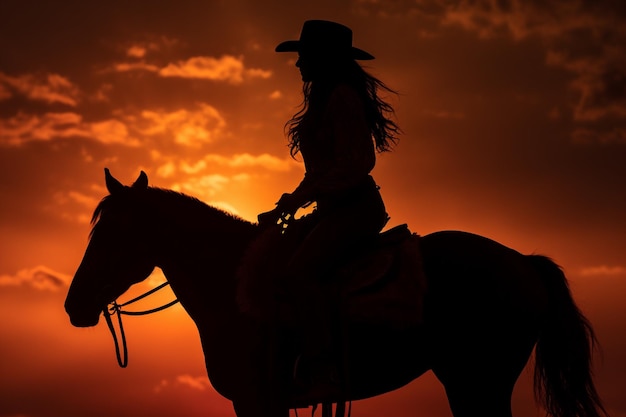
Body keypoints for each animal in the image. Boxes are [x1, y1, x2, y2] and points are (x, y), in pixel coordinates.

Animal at [62, 169, 604, 416]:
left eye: (108, 234)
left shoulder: (258, 402)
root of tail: (524, 262)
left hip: (480, 381)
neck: (231, 288)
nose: (73, 304)